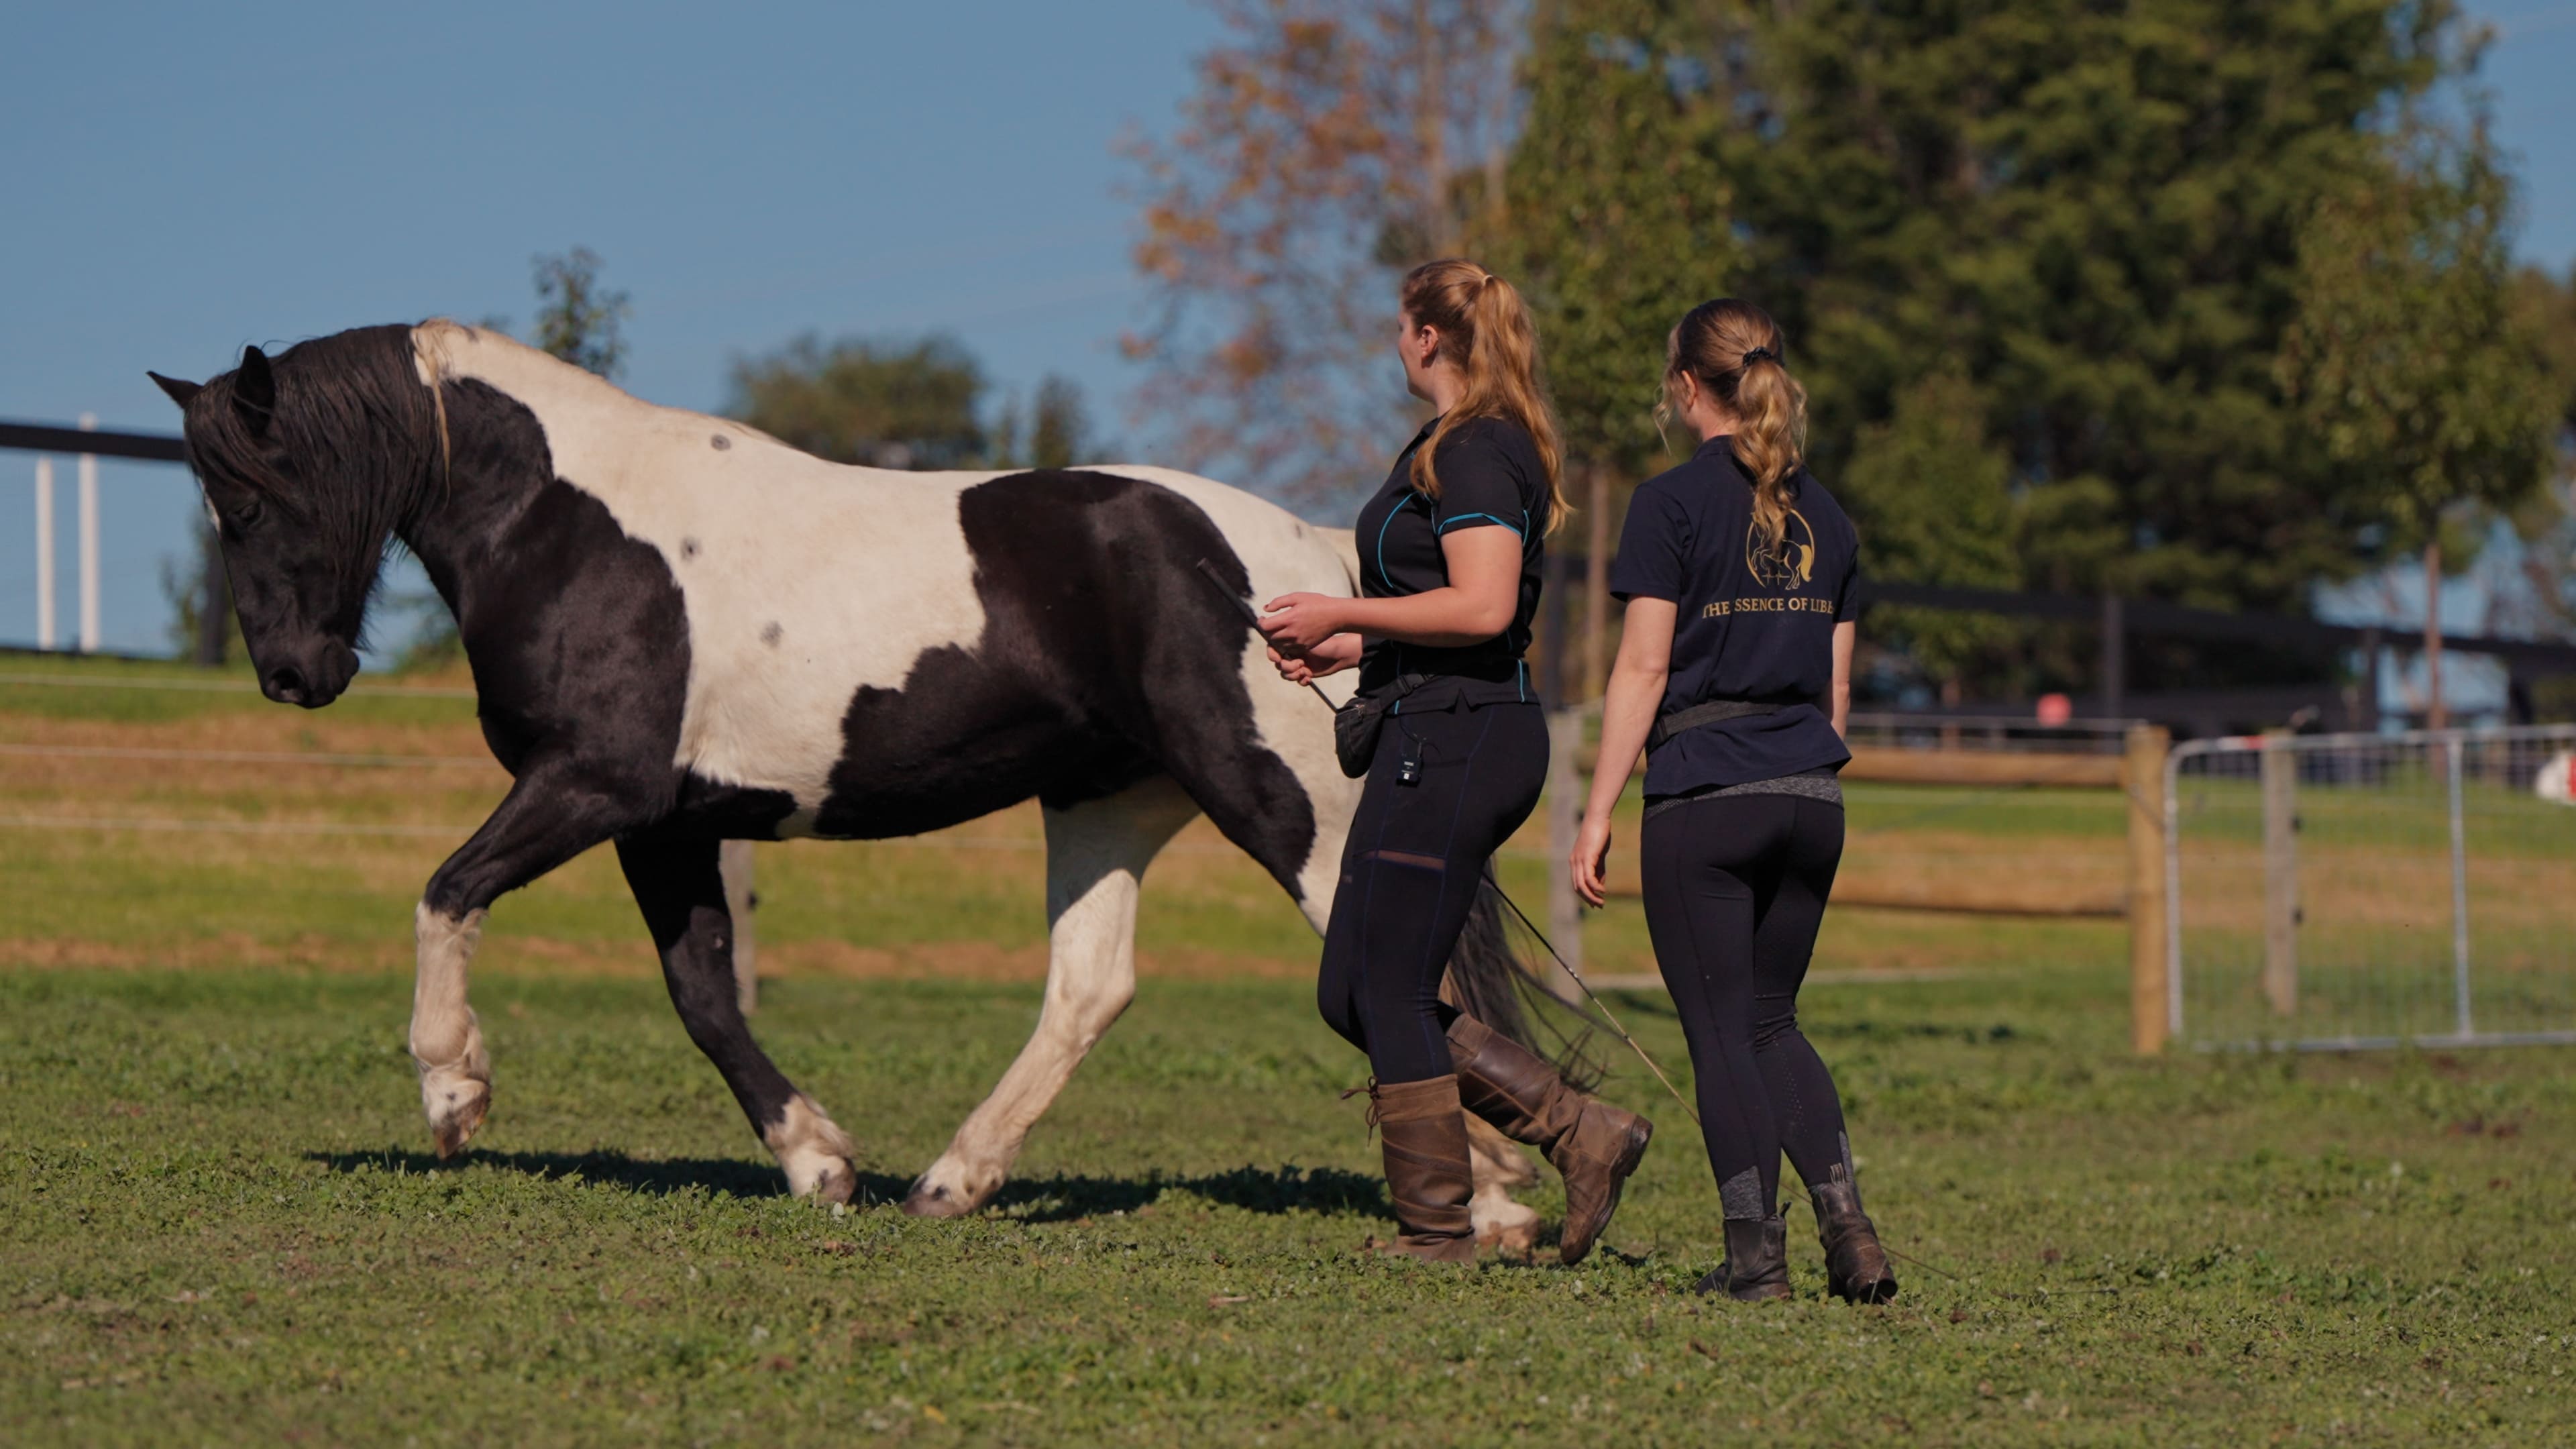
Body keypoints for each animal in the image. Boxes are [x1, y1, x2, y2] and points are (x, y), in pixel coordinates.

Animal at [146, 321, 1570, 1248]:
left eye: (256, 498)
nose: (294, 673)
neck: (570, 522)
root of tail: (1316, 561)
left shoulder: (595, 785)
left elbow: (447, 892)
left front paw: (453, 1095)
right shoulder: (668, 823)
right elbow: (703, 999)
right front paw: (820, 1163)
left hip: (1287, 808)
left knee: (1387, 970)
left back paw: (1497, 1195)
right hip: (1110, 803)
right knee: (1090, 989)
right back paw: (952, 1183)